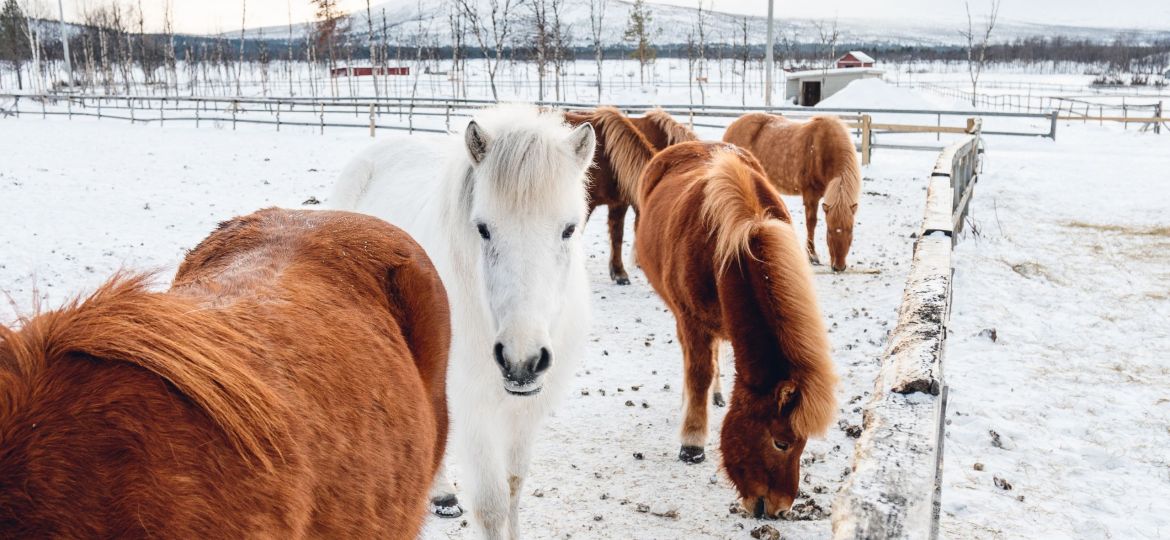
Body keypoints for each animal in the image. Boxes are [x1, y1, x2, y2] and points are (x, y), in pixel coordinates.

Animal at [331, 104, 595, 540]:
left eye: (569, 229)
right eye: (483, 228)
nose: (521, 360)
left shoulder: (527, 411)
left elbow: (513, 489)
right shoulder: (473, 410)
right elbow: (490, 506)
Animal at [634, 142, 838, 518]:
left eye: (804, 443)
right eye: (781, 442)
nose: (780, 509)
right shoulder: (691, 320)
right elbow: (698, 372)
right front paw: (692, 443)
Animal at [722, 113, 862, 272]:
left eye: (851, 230)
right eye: (829, 231)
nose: (838, 267)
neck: (823, 150)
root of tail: (732, 126)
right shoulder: (810, 194)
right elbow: (811, 223)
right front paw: (812, 256)